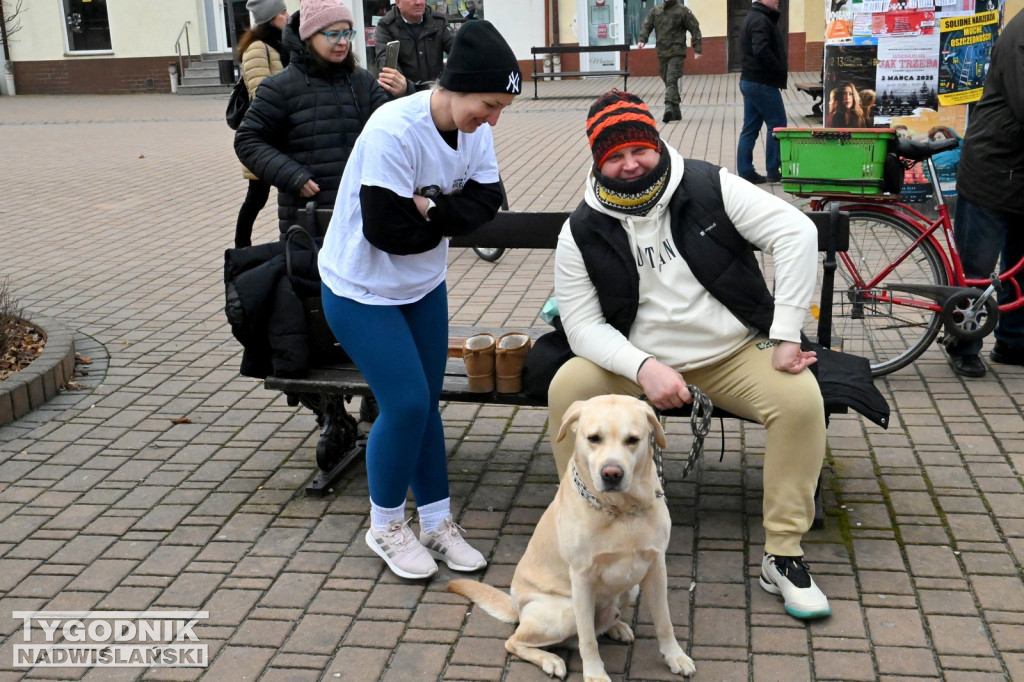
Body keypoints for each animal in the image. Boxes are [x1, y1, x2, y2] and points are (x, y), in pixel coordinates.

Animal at [450, 391, 696, 675]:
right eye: (593, 438)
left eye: (633, 440)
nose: (612, 473)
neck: (621, 511)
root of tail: (517, 608)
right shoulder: (581, 578)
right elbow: (587, 639)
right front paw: (595, 674)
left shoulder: (656, 567)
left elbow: (664, 621)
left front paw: (675, 656)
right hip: (564, 610)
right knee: (516, 641)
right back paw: (551, 659)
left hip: (631, 589)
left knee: (602, 621)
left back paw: (617, 627)